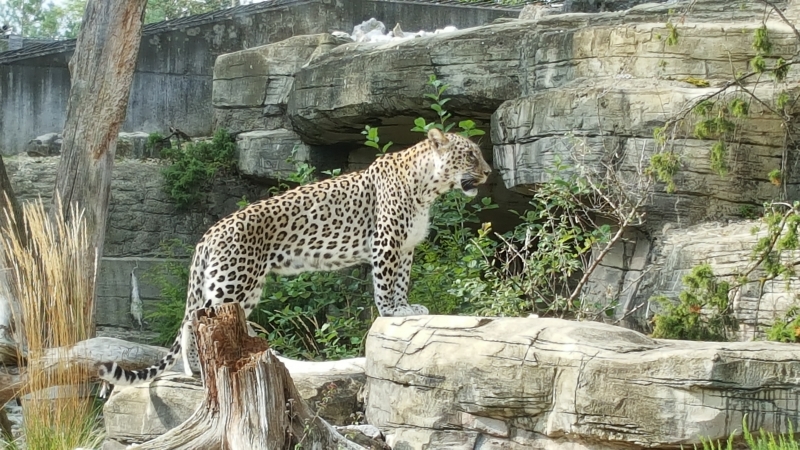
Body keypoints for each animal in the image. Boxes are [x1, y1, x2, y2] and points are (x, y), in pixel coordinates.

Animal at [98, 128, 492, 387]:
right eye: (470, 154)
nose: (488, 172)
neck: (429, 187)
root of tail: (208, 235)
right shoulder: (387, 242)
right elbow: (385, 283)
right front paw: (392, 312)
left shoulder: (407, 246)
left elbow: (401, 282)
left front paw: (407, 308)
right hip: (231, 282)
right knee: (195, 321)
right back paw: (197, 370)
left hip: (245, 287)